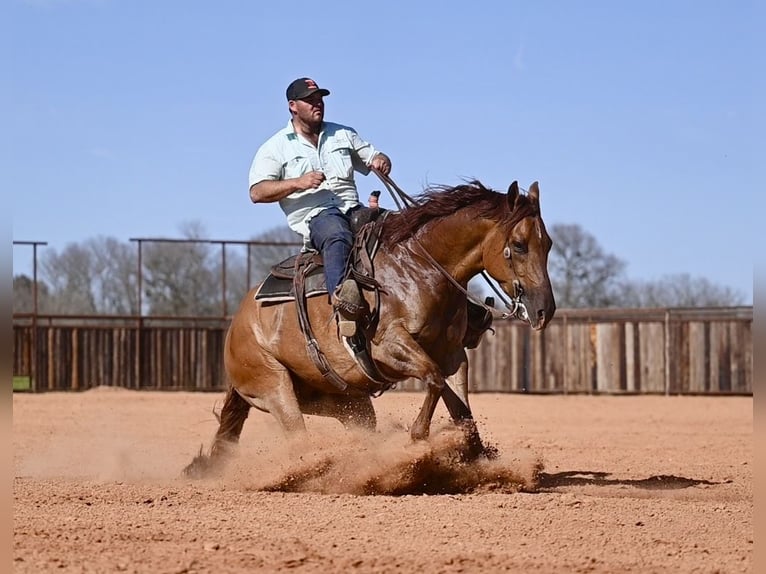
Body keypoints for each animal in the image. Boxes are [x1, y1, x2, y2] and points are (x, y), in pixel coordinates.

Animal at [186, 180, 560, 476]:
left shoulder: (453, 355)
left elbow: (461, 409)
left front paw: (480, 459)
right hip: (274, 387)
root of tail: (236, 327)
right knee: (297, 438)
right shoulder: (389, 346)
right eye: (519, 245)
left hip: (347, 404)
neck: (418, 267)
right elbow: (433, 379)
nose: (545, 310)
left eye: (549, 244)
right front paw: (417, 438)